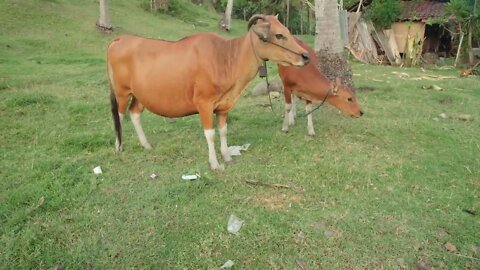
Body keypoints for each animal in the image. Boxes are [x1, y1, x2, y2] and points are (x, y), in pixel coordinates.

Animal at [107, 14, 310, 170]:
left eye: (288, 31)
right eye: (279, 35)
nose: (306, 56)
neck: (226, 58)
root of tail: (120, 39)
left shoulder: (224, 107)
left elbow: (223, 131)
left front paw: (226, 156)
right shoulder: (204, 103)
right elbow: (210, 134)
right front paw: (215, 163)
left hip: (140, 95)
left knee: (134, 114)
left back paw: (146, 145)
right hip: (122, 93)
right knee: (119, 117)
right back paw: (119, 147)